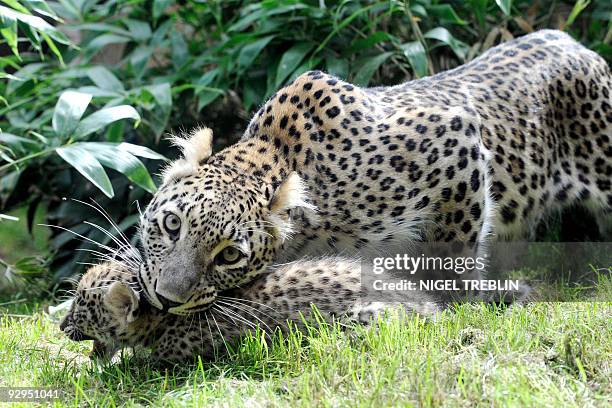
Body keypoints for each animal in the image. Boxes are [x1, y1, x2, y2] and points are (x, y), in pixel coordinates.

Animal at [136, 30, 608, 314]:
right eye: (172, 225)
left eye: (229, 255)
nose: (164, 300)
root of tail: (571, 41)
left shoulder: (456, 140)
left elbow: (454, 254)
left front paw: (457, 301)